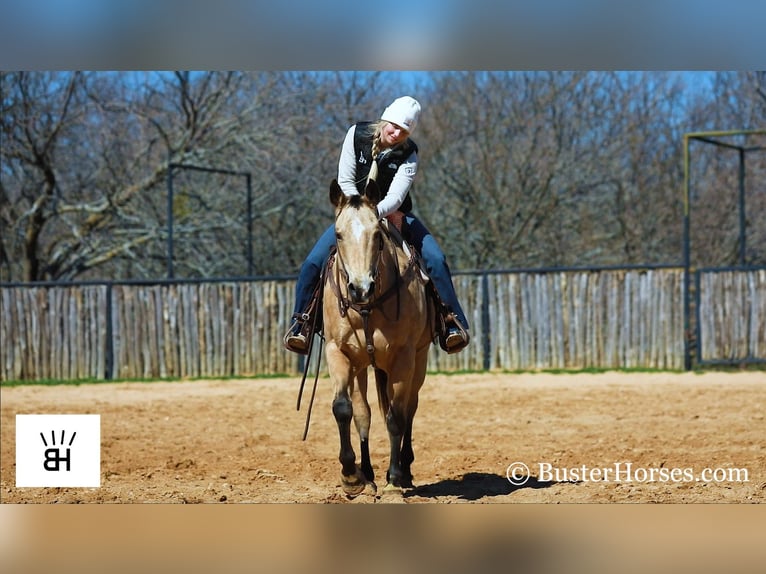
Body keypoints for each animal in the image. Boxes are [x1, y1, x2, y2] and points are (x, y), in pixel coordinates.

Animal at [320, 180, 436, 500]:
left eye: (376, 234)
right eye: (338, 234)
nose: (360, 288)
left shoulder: (404, 357)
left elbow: (396, 417)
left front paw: (394, 479)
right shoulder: (337, 351)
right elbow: (343, 408)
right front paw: (351, 476)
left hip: (419, 359)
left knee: (409, 408)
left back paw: (404, 470)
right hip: (362, 366)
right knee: (364, 413)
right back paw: (368, 475)